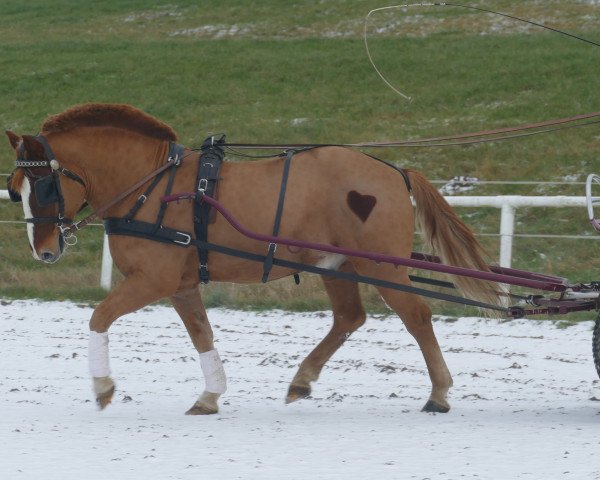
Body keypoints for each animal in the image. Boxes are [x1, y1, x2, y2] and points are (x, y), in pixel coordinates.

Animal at [5, 103, 502, 414]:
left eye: (44, 187)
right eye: (15, 189)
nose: (43, 250)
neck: (153, 186)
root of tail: (394, 171)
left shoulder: (154, 280)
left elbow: (99, 317)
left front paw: (103, 387)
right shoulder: (181, 284)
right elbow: (201, 334)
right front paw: (210, 396)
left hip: (382, 265)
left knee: (417, 316)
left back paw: (439, 393)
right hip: (337, 265)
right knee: (349, 318)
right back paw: (302, 379)